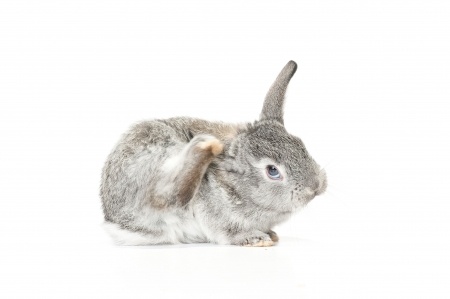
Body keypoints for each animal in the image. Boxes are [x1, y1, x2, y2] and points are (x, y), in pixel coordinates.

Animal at [101, 60, 326, 246]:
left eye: (300, 144)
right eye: (272, 170)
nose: (315, 187)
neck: (236, 185)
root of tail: (114, 218)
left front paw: (271, 235)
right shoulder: (215, 213)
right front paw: (256, 239)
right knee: (165, 196)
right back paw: (207, 145)